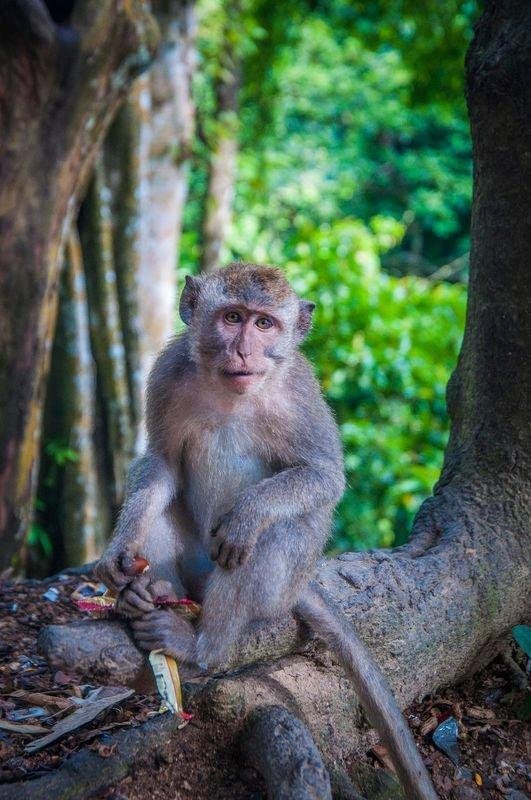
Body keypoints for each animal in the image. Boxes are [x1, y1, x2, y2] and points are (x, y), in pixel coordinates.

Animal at [96, 262, 440, 800]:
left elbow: (322, 475)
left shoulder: (300, 393)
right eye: (232, 318)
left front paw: (247, 514)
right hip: (195, 568)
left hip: (280, 585)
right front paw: (119, 552)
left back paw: (201, 648)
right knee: (167, 514)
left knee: (271, 538)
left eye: (264, 325)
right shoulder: (168, 372)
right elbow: (162, 464)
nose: (244, 351)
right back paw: (149, 593)